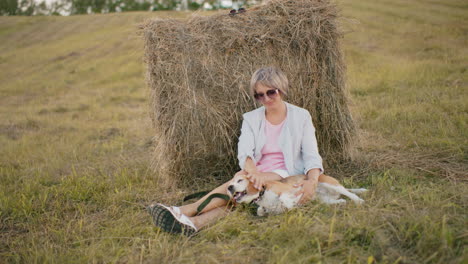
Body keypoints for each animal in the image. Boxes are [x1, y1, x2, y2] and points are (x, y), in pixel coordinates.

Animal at [227, 174, 366, 216]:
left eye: (240, 180)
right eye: (230, 182)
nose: (229, 187)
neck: (263, 193)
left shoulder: (289, 189)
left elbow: (284, 197)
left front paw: (290, 204)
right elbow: (260, 211)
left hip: (331, 184)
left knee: (348, 193)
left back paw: (359, 200)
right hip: (323, 200)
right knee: (339, 200)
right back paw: (340, 202)